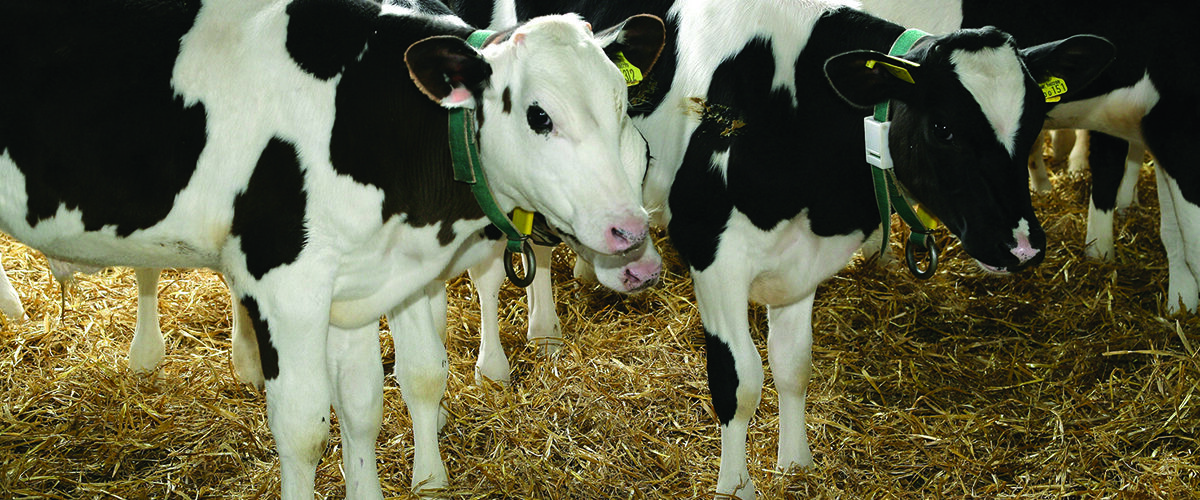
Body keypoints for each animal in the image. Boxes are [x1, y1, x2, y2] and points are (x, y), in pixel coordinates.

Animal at [0, 0, 666, 497]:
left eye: (622, 104)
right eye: (538, 115)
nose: (631, 238)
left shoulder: (357, 278)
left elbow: (365, 405)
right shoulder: (285, 285)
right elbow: (303, 428)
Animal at [448, 0, 1116, 497]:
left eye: (1035, 124)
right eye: (944, 127)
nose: (1024, 245)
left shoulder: (802, 259)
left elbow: (793, 365)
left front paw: (795, 464)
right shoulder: (714, 256)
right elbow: (739, 381)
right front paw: (734, 486)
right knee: (502, 263)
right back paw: (526, 342)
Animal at [860, 0, 1196, 312]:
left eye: (1035, 119)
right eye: (943, 129)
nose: (1023, 247)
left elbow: (1174, 233)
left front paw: (1180, 305)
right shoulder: (1176, 128)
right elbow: (1190, 241)